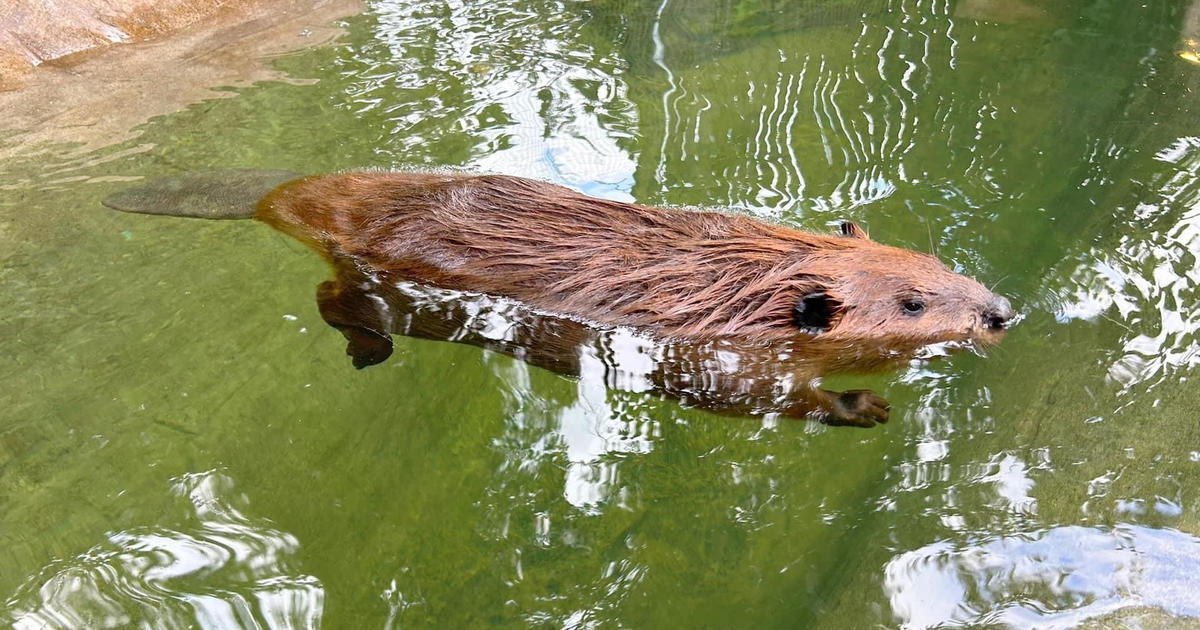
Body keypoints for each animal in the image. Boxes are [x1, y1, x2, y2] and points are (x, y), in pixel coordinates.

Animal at [103, 169, 1012, 424]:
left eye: (937, 264)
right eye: (912, 306)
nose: (1001, 313)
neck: (751, 277)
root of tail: (283, 196)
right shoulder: (713, 357)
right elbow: (761, 401)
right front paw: (864, 408)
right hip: (381, 284)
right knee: (335, 297)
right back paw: (366, 351)